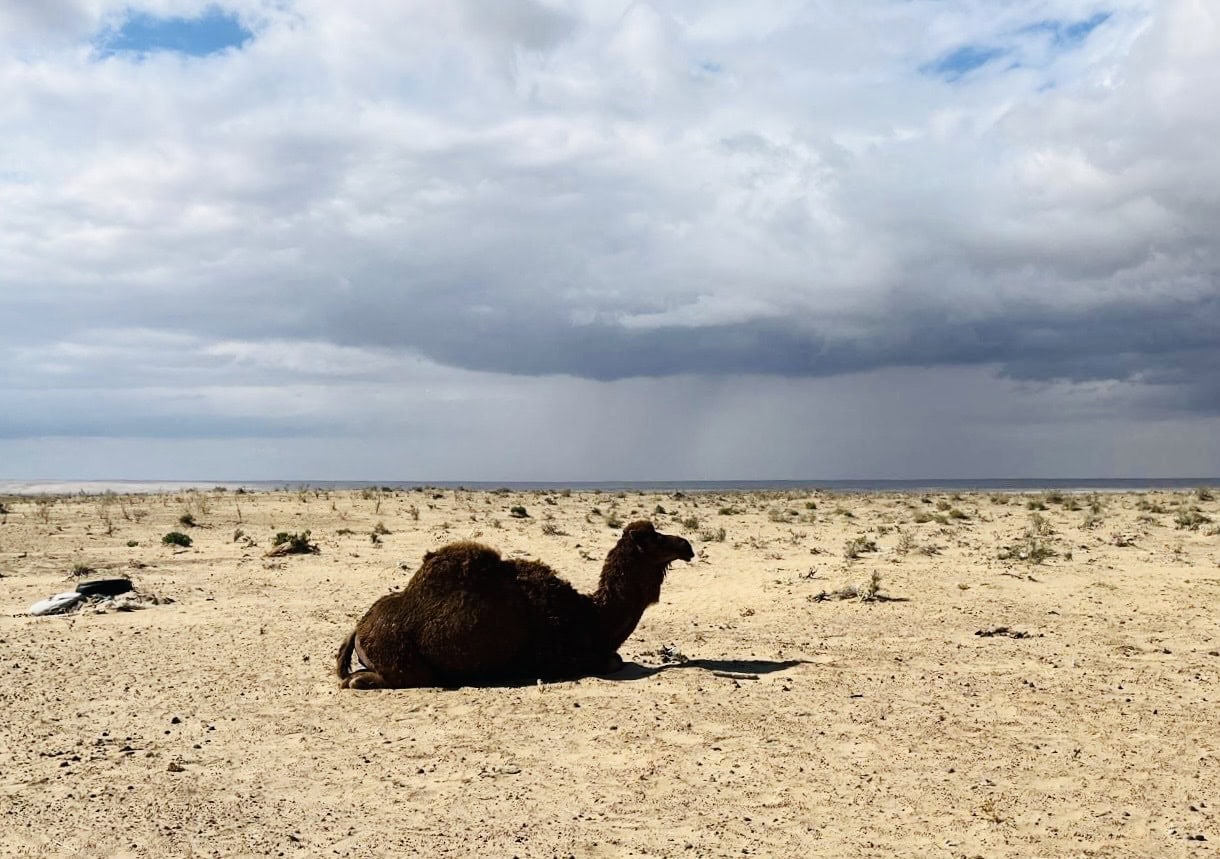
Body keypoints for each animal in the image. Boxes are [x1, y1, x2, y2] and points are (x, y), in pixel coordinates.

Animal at [336, 520, 694, 688]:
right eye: (654, 537)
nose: (686, 545)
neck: (591, 617)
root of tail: (359, 629)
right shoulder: (565, 659)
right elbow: (613, 661)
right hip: (408, 665)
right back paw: (358, 681)